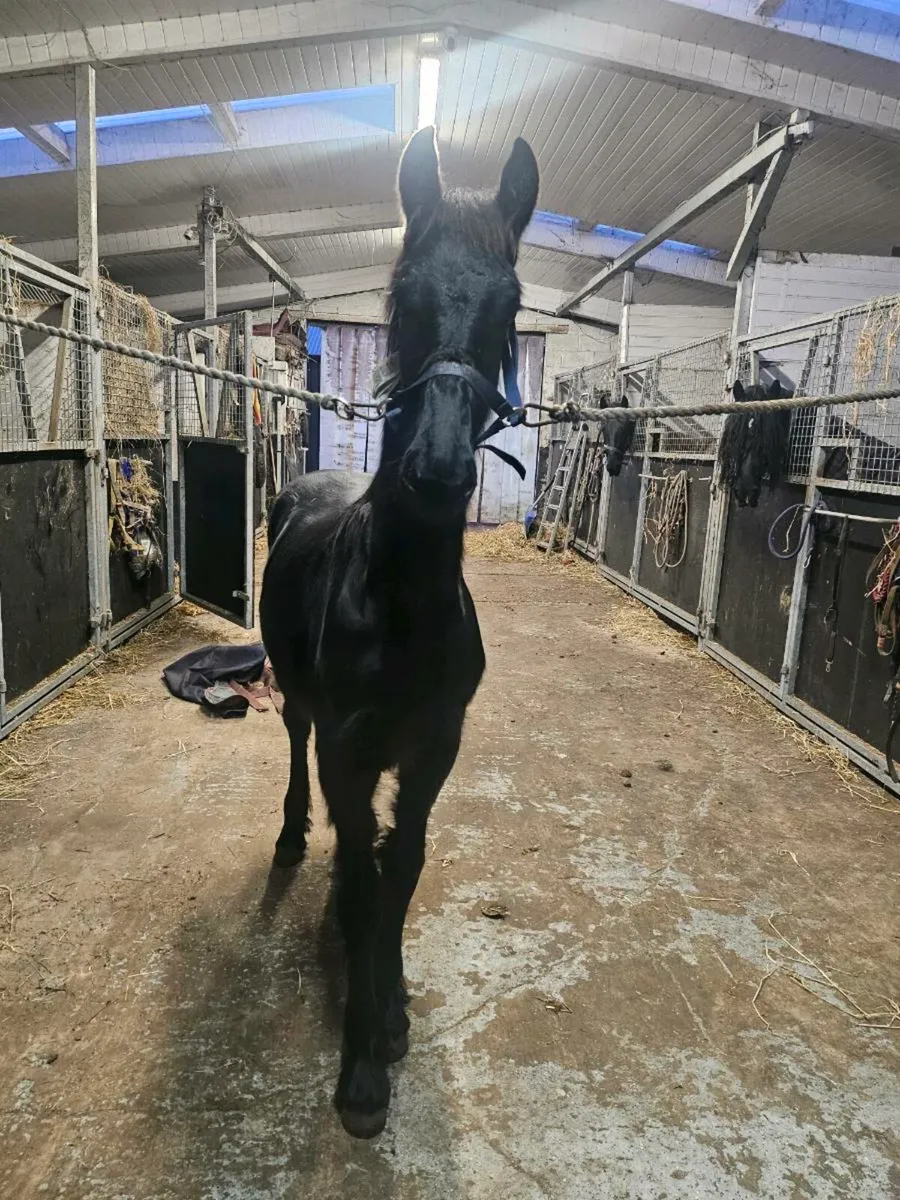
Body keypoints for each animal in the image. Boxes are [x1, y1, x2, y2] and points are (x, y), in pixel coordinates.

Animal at [259, 126, 539, 1139]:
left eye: (511, 304)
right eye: (407, 295)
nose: (439, 470)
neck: (403, 601)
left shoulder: (432, 749)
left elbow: (400, 868)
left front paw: (391, 1006)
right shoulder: (347, 749)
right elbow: (359, 884)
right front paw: (361, 1073)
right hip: (300, 709)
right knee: (295, 755)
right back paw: (291, 839)